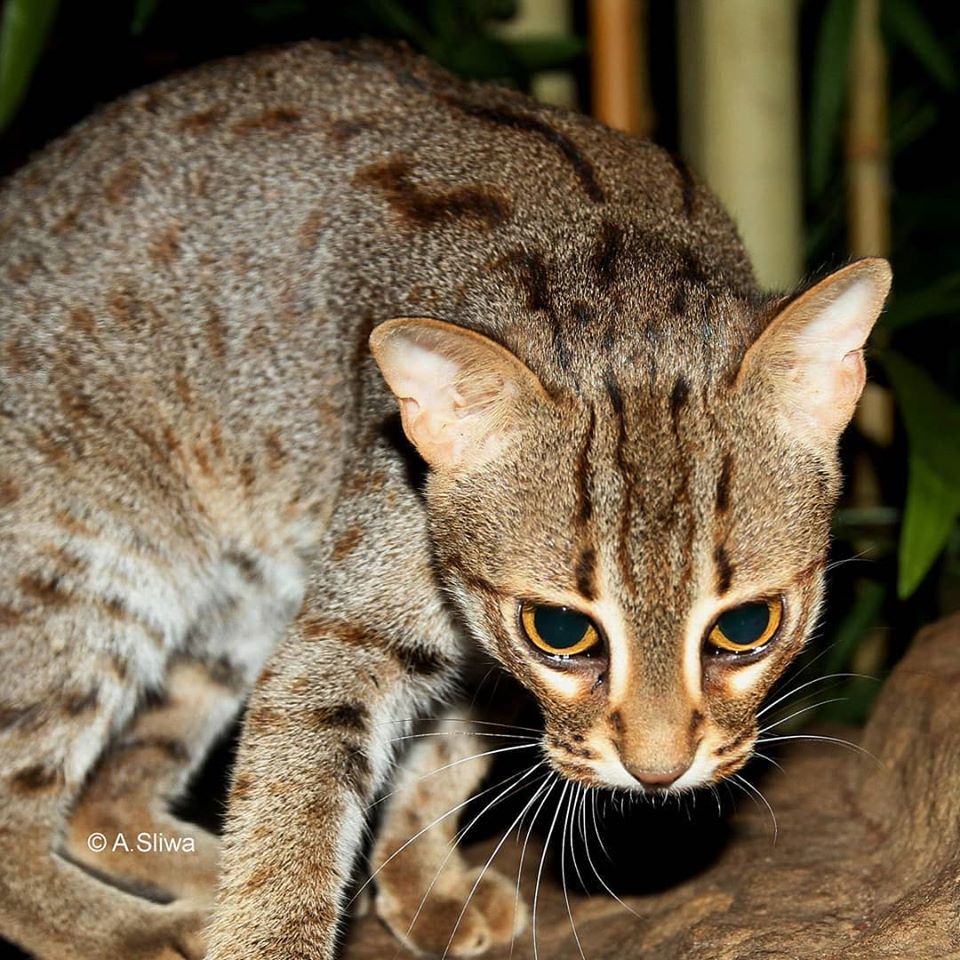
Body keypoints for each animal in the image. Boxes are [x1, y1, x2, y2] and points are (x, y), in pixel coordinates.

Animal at [0, 39, 892, 960]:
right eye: (562, 631)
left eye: (747, 626)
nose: (658, 772)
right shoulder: (353, 622)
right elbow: (295, 817)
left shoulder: (467, 646)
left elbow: (443, 762)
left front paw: (423, 882)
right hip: (93, 568)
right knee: (17, 821)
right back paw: (136, 932)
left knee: (102, 798)